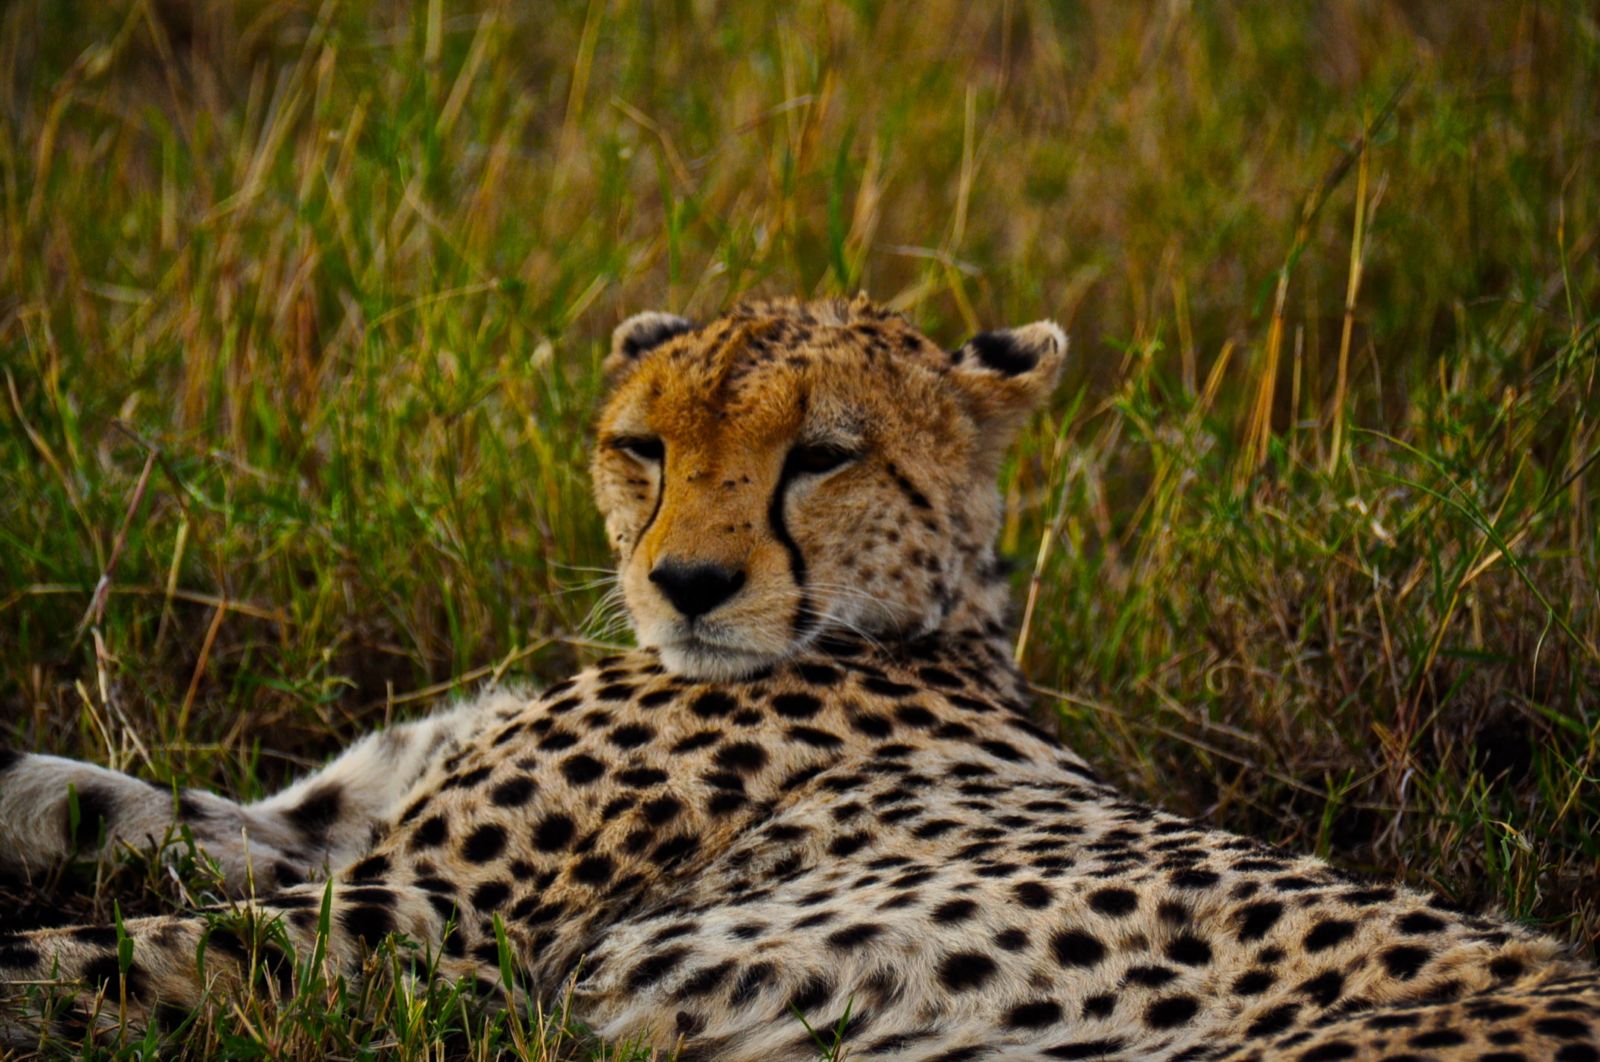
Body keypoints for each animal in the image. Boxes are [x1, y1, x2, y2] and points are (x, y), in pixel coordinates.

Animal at [2, 295, 1597, 1060]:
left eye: (823, 456)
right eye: (641, 446)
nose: (689, 584)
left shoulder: (444, 929)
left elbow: (98, 958)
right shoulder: (336, 833)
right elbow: (102, 803)